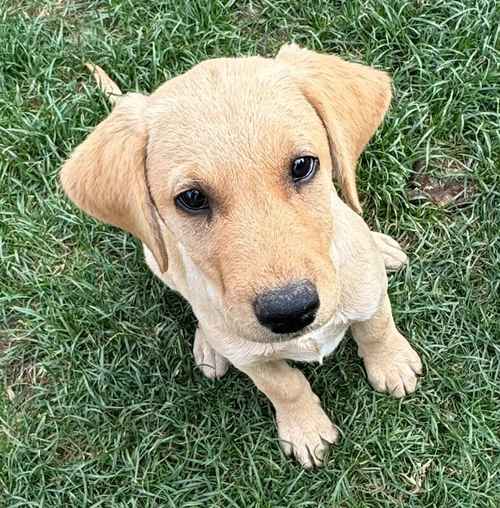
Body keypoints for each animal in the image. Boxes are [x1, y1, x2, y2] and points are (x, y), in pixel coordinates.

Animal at [61, 44, 422, 468]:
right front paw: (305, 428)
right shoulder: (253, 360)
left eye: (302, 165)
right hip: (157, 259)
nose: (289, 310)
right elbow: (285, 386)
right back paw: (208, 347)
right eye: (191, 198)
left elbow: (377, 330)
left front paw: (393, 365)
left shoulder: (368, 296)